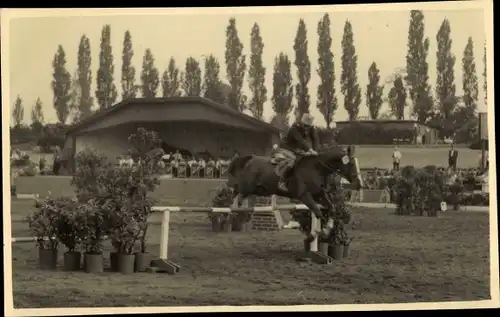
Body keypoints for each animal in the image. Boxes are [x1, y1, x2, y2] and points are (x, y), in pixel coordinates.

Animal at [227, 144, 360, 236]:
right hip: (248, 187)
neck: (316, 169)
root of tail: (251, 158)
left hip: (260, 190)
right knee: (236, 192)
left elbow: (331, 208)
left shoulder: (318, 193)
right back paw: (234, 208)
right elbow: (318, 211)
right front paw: (322, 232)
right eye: (352, 164)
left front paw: (328, 227)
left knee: (241, 194)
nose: (358, 184)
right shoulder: (304, 196)